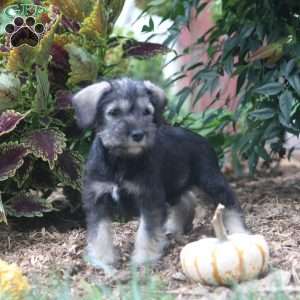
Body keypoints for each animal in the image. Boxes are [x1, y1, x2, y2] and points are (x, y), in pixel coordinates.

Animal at [72, 78, 246, 270]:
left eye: (147, 111)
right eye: (114, 112)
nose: (138, 135)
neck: (121, 161)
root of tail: (201, 138)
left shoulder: (149, 198)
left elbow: (146, 232)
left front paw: (143, 260)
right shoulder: (97, 200)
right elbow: (99, 232)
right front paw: (102, 260)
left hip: (210, 180)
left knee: (230, 201)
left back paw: (239, 230)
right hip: (174, 186)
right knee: (185, 201)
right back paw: (173, 228)